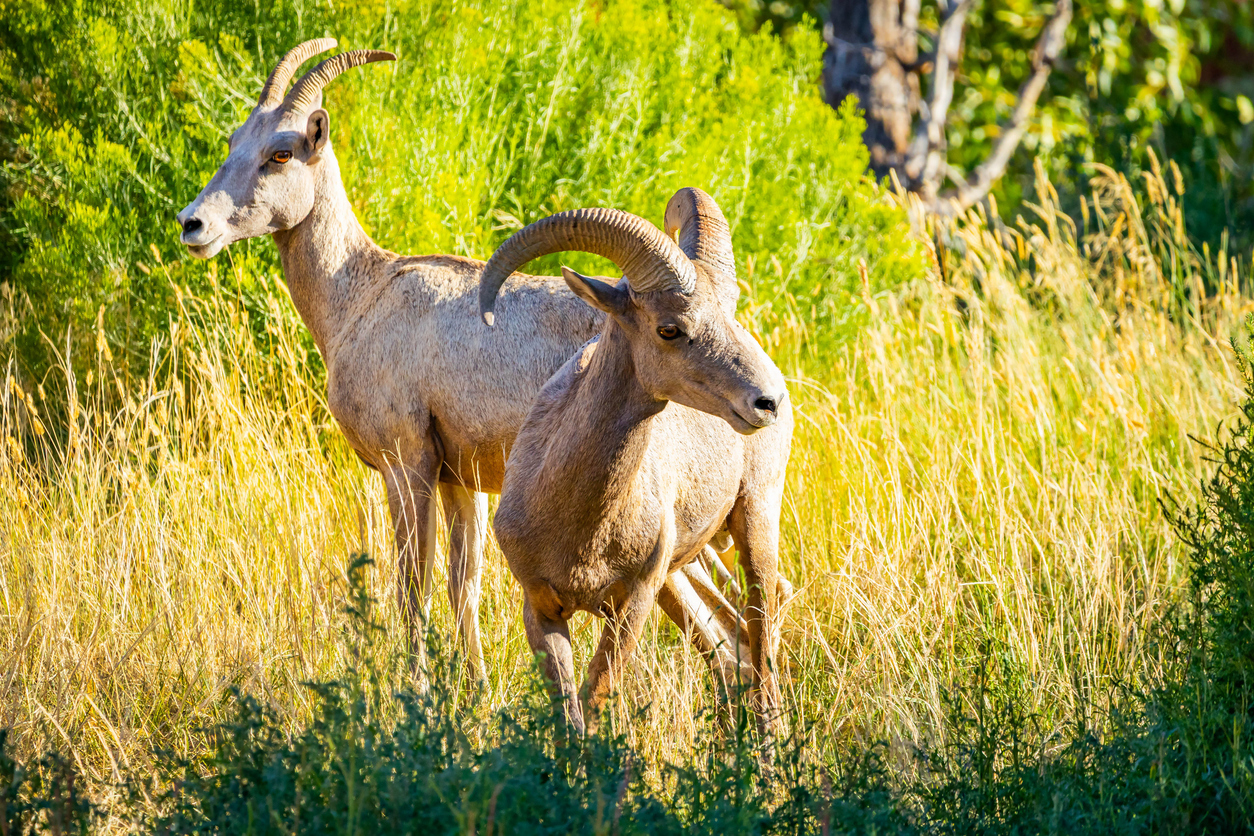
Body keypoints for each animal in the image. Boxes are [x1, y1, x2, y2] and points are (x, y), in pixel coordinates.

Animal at [174, 39, 752, 685]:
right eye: (233, 141)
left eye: (280, 152)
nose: (193, 224)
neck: (359, 296)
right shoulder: (462, 483)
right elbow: (463, 589)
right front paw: (472, 689)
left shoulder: (408, 468)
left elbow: (413, 590)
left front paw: (420, 689)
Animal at [478, 187, 794, 734]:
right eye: (669, 329)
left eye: (729, 312)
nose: (766, 402)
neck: (575, 522)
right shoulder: (542, 610)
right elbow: (570, 717)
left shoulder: (631, 606)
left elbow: (599, 696)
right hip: (677, 580)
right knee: (727, 652)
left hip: (754, 527)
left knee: (760, 653)